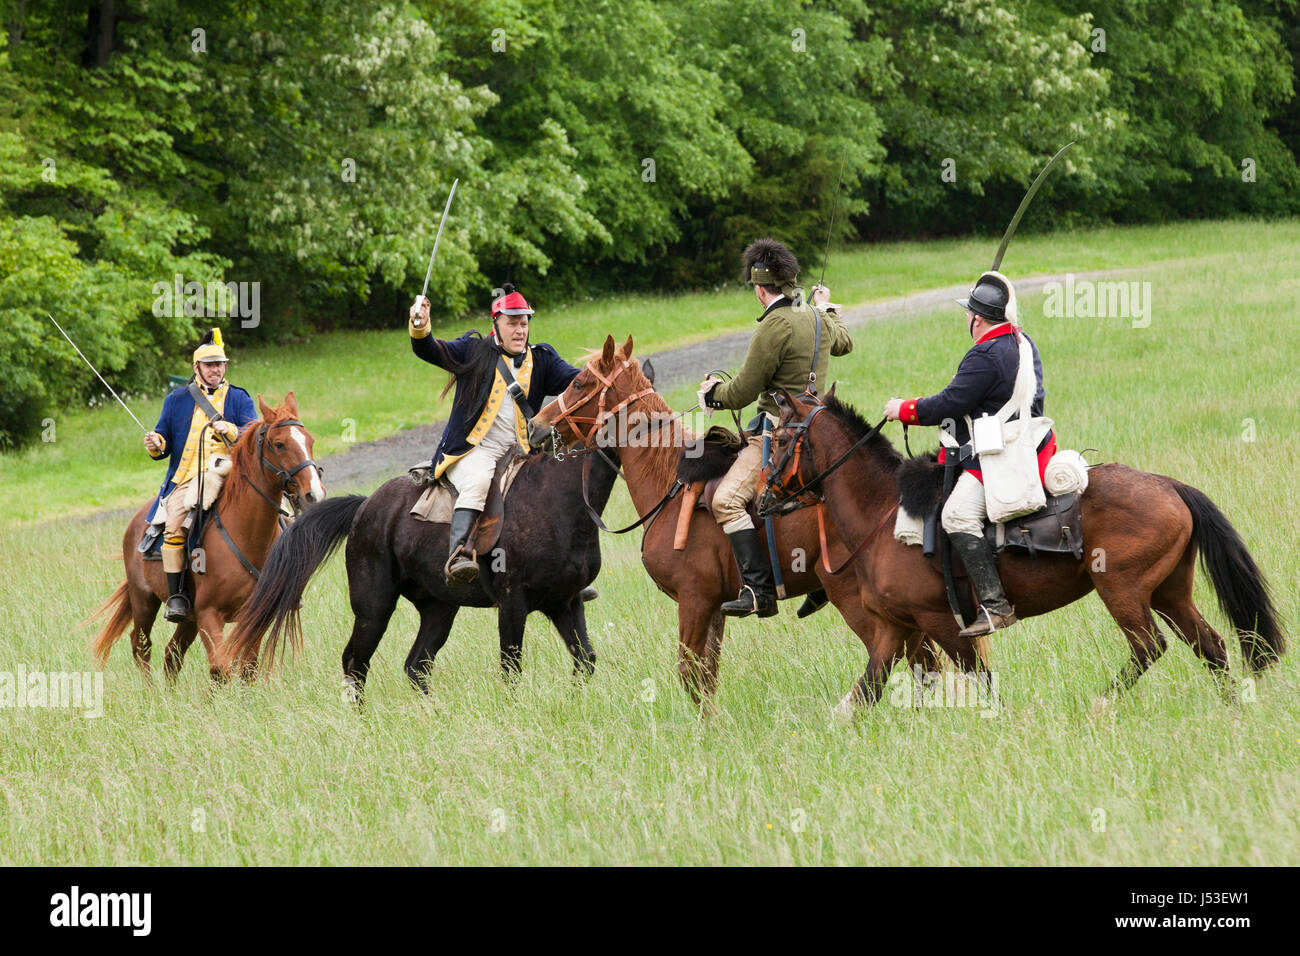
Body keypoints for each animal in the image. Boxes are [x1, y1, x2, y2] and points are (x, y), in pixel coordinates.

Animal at [91, 392, 322, 686]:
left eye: (310, 440)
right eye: (279, 444)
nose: (314, 494)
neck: (246, 535)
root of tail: (137, 521)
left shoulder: (255, 615)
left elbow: (247, 668)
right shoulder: (209, 614)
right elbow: (220, 668)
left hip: (187, 619)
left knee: (172, 655)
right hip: (144, 600)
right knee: (141, 646)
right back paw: (152, 693)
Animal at [223, 442, 618, 702]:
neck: (556, 499)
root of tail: (365, 505)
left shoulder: (565, 602)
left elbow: (585, 659)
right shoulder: (512, 603)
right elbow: (511, 665)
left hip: (439, 609)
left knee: (416, 665)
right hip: (374, 610)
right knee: (355, 662)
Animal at [764, 390, 1284, 717]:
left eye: (780, 440)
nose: (763, 497)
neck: (883, 514)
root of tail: (1168, 485)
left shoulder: (942, 623)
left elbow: (980, 680)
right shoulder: (894, 629)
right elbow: (865, 691)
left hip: (1122, 590)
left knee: (1149, 646)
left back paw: (1101, 704)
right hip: (1170, 592)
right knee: (1211, 646)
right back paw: (1232, 710)